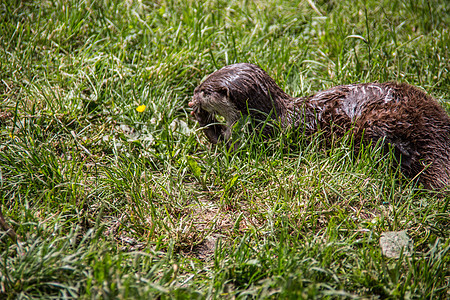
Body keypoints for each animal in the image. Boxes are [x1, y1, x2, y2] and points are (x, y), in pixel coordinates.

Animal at [189, 63, 450, 190]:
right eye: (202, 82)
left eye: (205, 90)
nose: (193, 92)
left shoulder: (255, 136)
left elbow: (227, 147)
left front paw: (201, 117)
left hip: (377, 125)